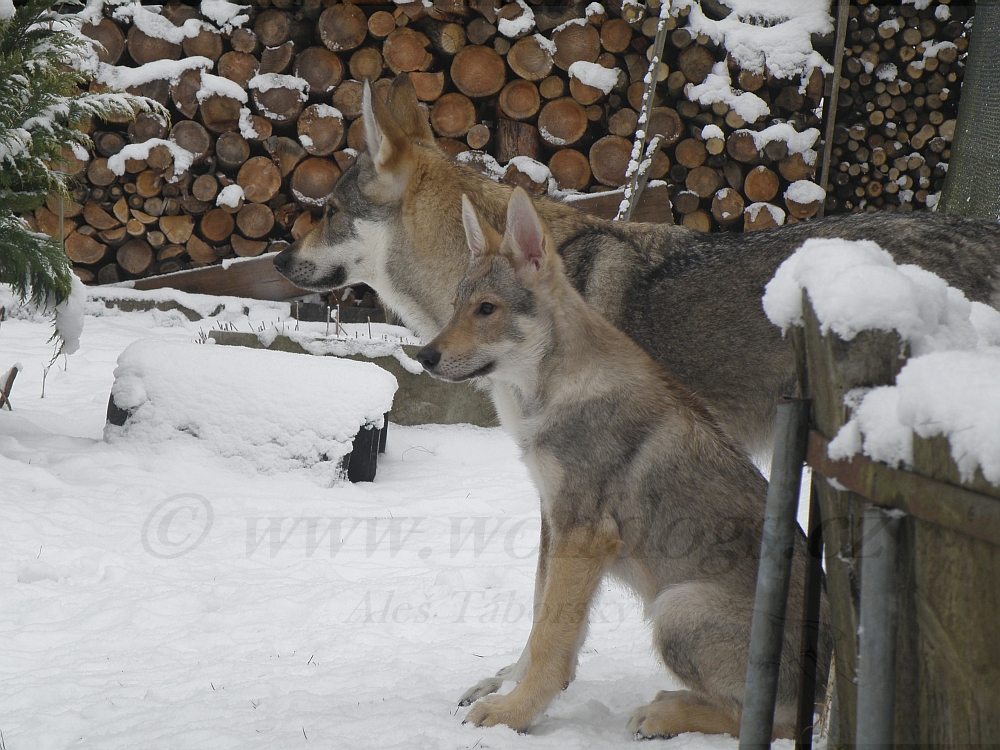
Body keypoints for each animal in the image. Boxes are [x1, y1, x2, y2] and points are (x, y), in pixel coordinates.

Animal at [414, 188, 828, 740]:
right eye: (458, 304)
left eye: (487, 309)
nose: (424, 357)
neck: (556, 392)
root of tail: (824, 688)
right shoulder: (558, 525)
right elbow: (544, 623)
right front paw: (510, 693)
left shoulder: (584, 534)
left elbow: (550, 636)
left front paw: (512, 714)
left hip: (675, 608)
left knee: (767, 720)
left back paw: (663, 713)